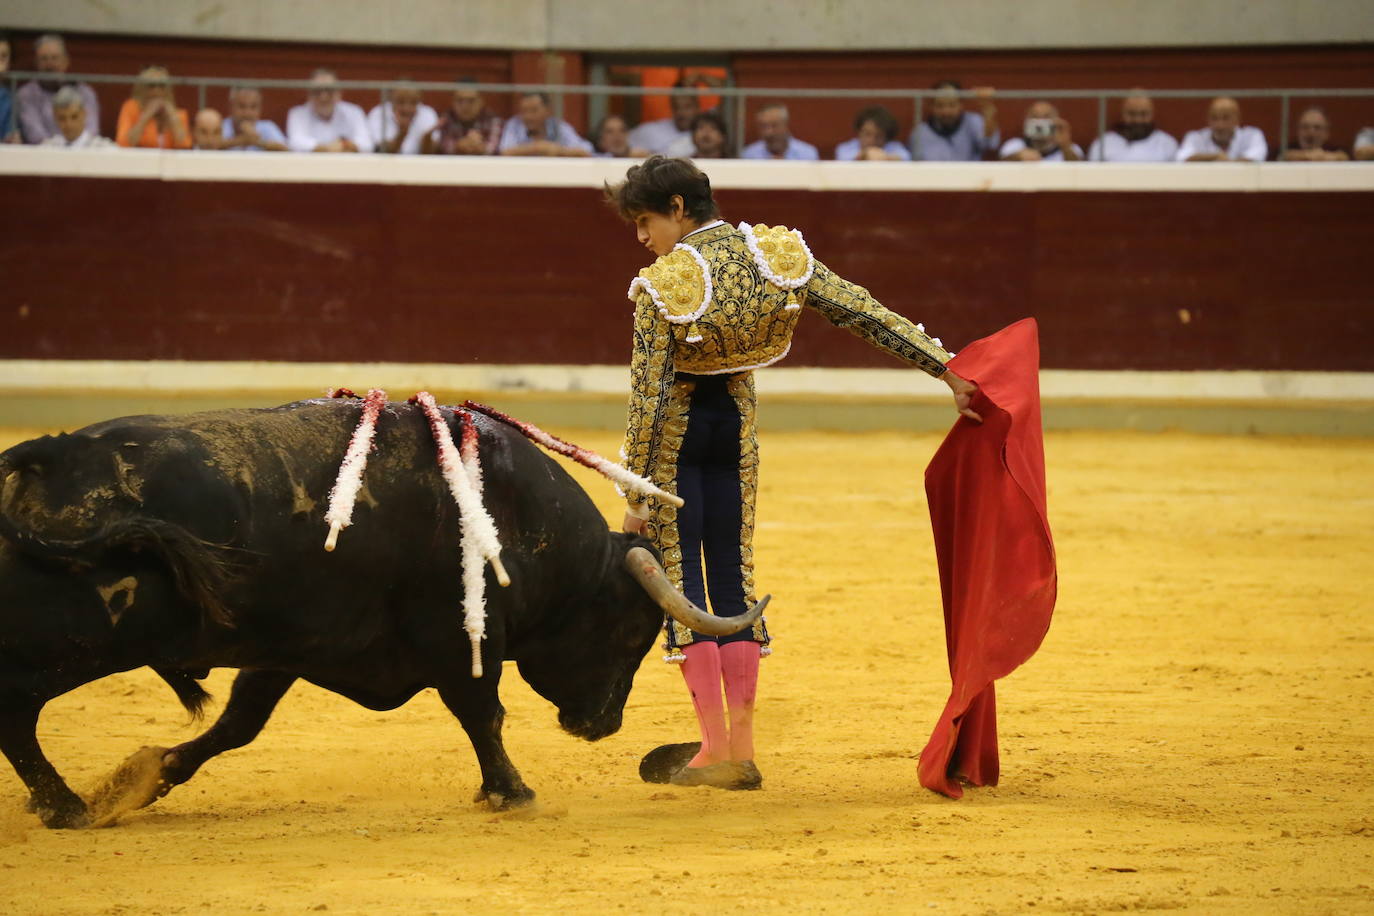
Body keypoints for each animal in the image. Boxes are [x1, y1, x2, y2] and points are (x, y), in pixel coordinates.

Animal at [0, 398, 763, 829]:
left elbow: (239, 725)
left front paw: (146, 776)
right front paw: (511, 793)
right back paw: (63, 806)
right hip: (76, 636)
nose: (604, 725)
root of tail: (48, 453)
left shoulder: (290, 646)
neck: (516, 518)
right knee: (15, 710)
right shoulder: (461, 639)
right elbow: (483, 714)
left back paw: (67, 802)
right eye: (631, 631)